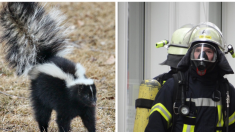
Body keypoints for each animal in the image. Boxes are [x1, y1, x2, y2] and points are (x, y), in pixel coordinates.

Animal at [0, 2, 96, 132]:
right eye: (85, 95)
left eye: (94, 94)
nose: (94, 103)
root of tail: (44, 59)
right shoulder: (64, 102)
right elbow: (62, 121)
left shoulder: (85, 108)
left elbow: (89, 120)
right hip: (39, 93)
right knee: (42, 113)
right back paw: (43, 128)